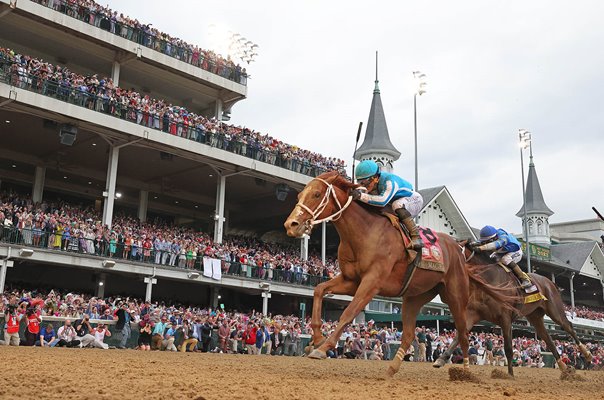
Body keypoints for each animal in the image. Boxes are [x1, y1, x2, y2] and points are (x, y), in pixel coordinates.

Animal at [286, 171, 516, 376]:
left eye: (317, 194)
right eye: (300, 195)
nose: (291, 224)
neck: (365, 233)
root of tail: (458, 249)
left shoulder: (372, 282)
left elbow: (348, 312)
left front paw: (323, 348)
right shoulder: (351, 280)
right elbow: (319, 290)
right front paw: (317, 337)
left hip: (456, 296)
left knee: (462, 332)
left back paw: (465, 371)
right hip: (415, 296)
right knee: (408, 334)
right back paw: (391, 370)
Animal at [434, 242, 596, 376]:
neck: (488, 279)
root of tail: (550, 282)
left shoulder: (505, 318)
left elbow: (508, 348)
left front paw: (510, 375)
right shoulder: (474, 314)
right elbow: (459, 335)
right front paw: (441, 359)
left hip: (554, 310)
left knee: (568, 326)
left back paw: (587, 354)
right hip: (535, 317)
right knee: (548, 339)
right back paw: (563, 367)